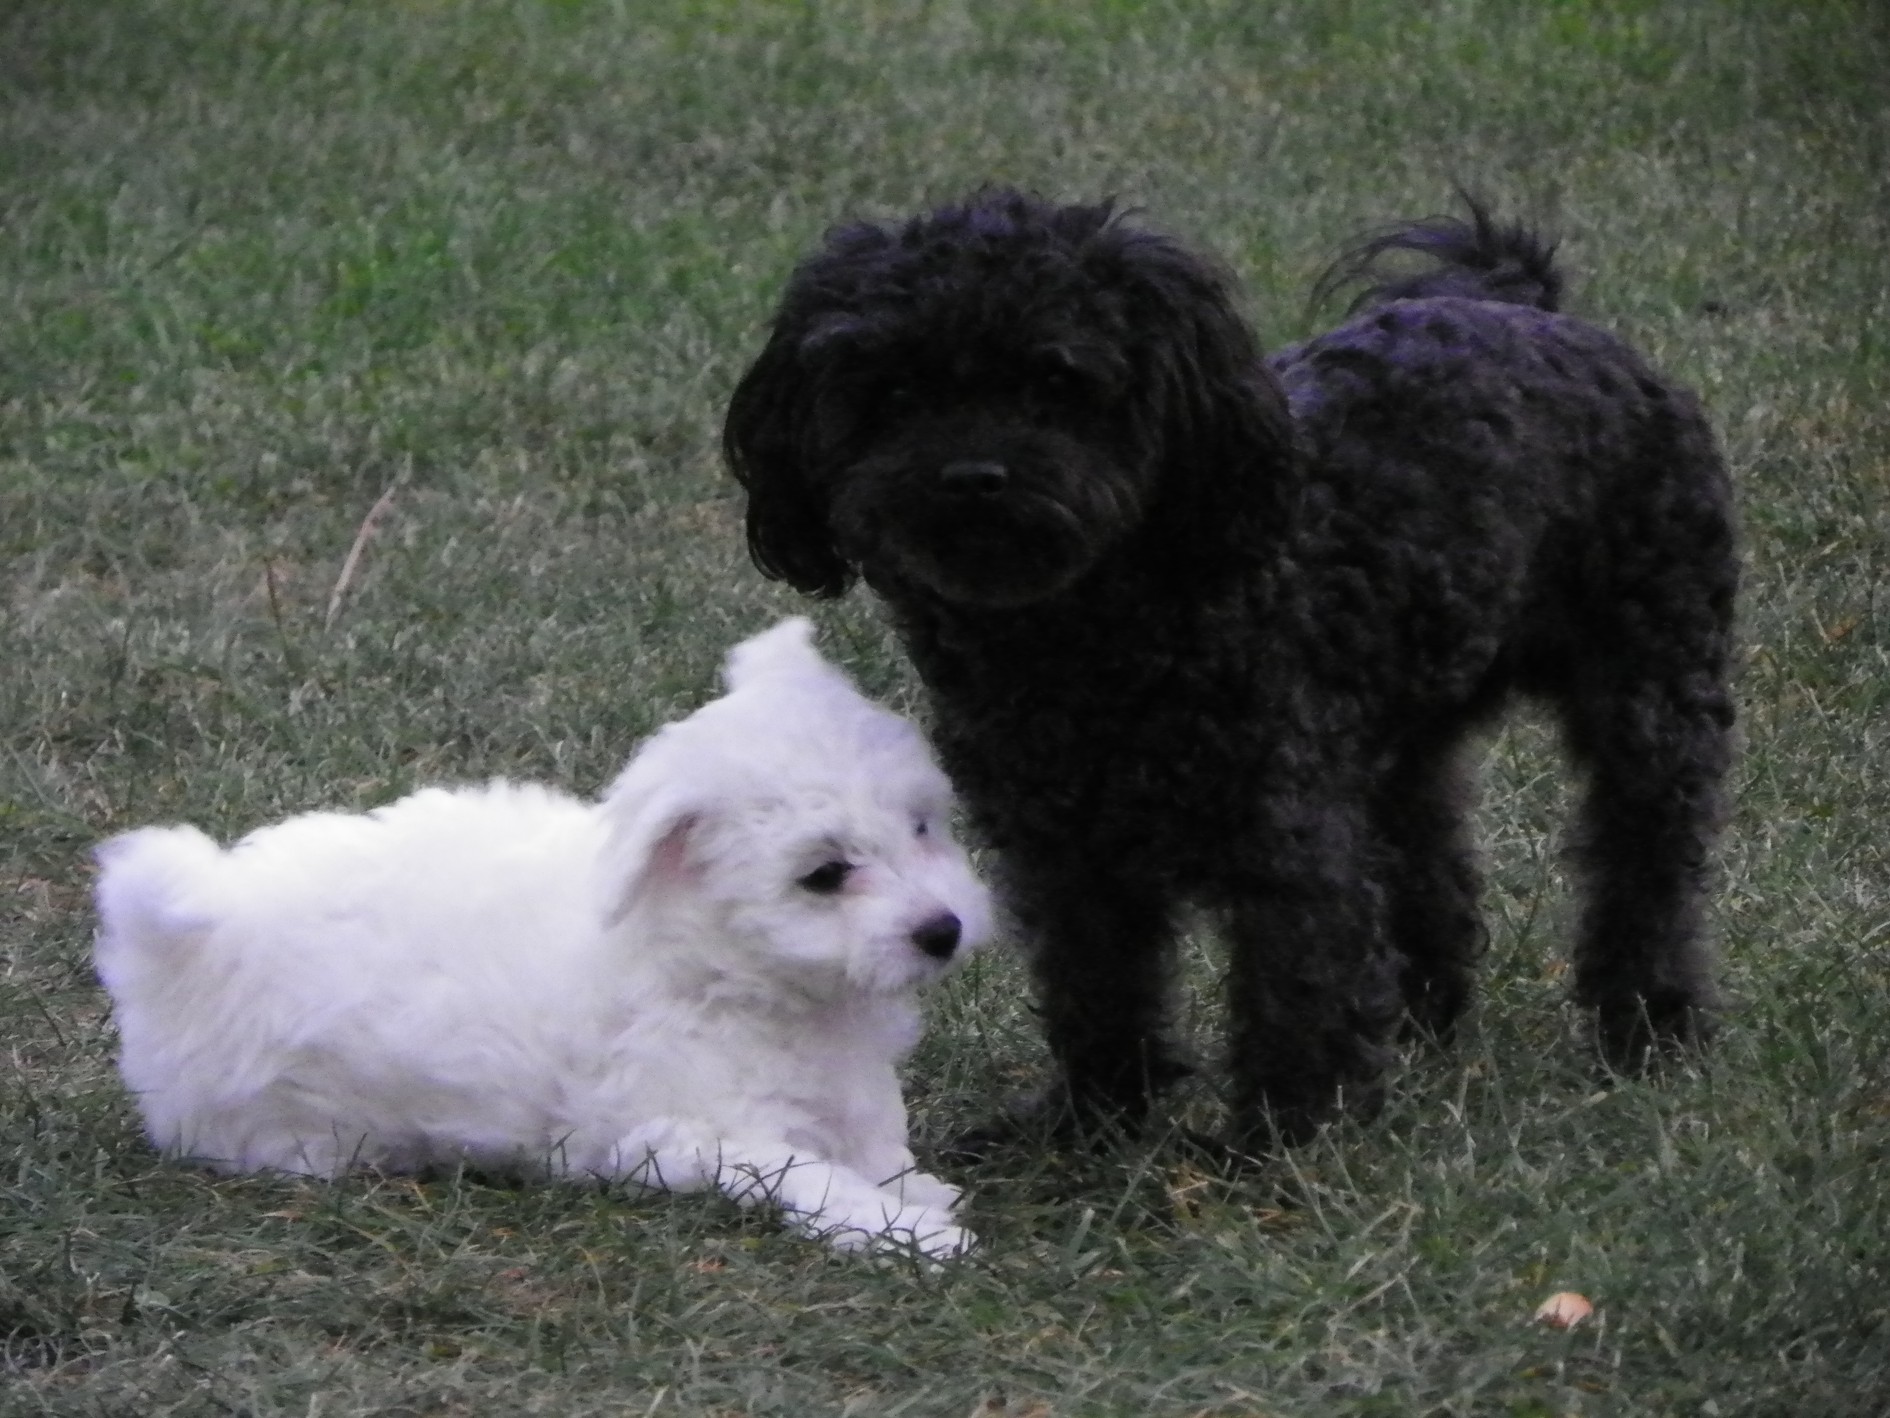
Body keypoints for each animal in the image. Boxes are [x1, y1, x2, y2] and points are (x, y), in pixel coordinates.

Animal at [93, 618, 992, 1257]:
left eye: (922, 827)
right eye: (826, 875)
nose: (941, 931)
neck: (717, 960)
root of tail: (185, 929)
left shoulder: (842, 1077)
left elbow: (873, 1128)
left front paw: (911, 1188)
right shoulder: (690, 1130)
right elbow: (808, 1174)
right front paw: (901, 1229)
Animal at [722, 191, 1739, 1151]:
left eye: (1059, 378)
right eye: (893, 389)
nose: (973, 476)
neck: (1096, 635)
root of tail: (1532, 311)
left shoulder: (1284, 835)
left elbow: (1296, 988)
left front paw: (1282, 1143)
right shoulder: (1067, 850)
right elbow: (1097, 986)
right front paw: (1090, 1125)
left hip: (1652, 690)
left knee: (1645, 864)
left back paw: (1646, 1027)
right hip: (1399, 741)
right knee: (1432, 863)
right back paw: (1425, 1024)